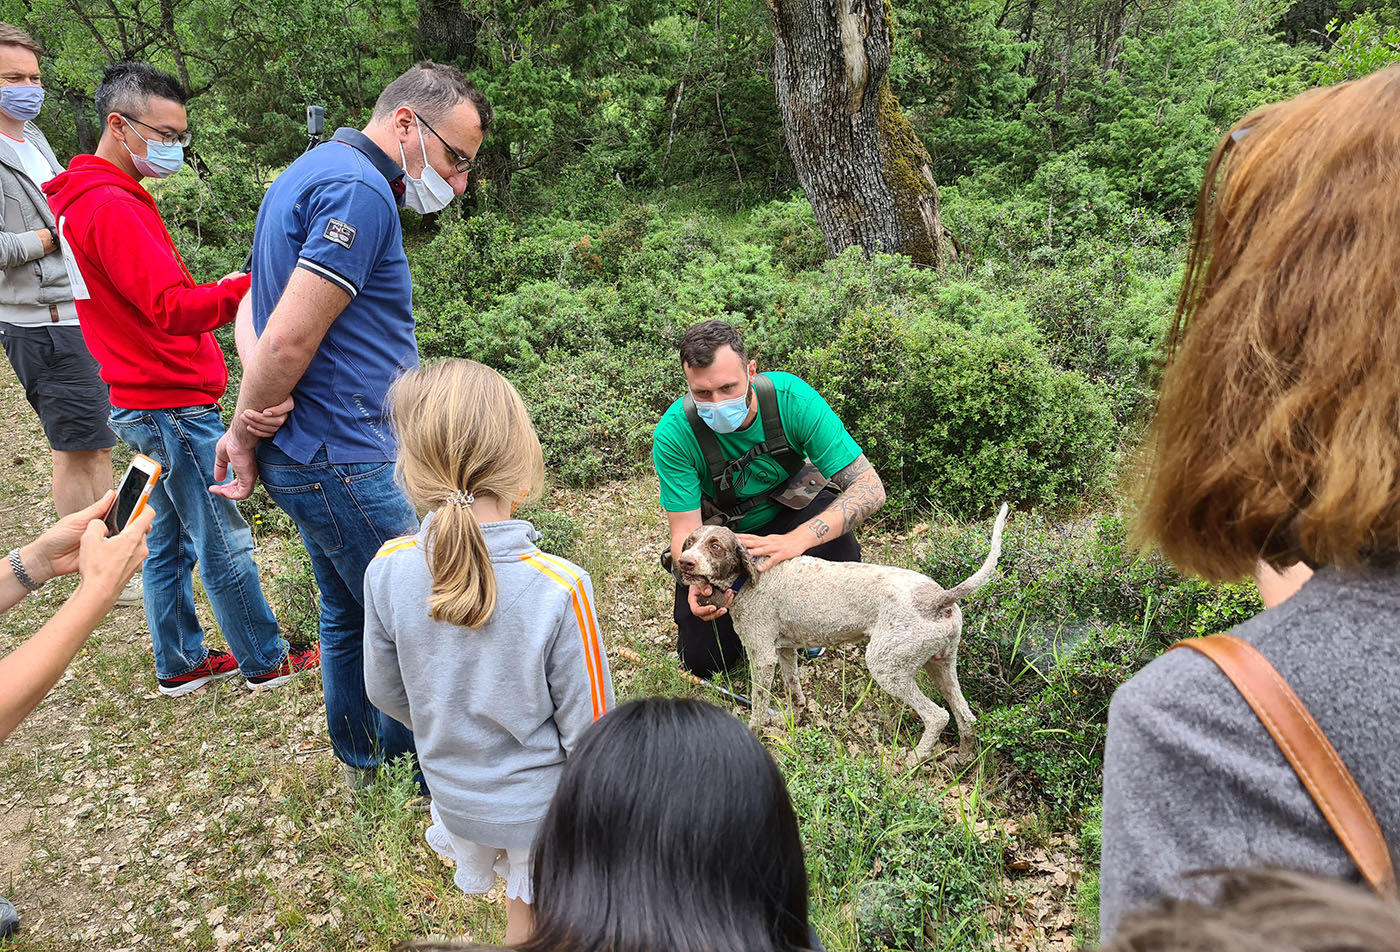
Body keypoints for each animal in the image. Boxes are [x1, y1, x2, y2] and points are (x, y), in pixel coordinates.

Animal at [674, 506, 1008, 767]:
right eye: (689, 541)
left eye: (715, 546)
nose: (684, 561)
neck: (749, 578)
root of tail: (939, 598)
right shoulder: (784, 651)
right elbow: (794, 690)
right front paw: (793, 717)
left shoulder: (763, 657)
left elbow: (758, 704)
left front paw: (755, 729)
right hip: (940, 665)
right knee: (966, 718)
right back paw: (963, 758)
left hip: (888, 666)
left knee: (938, 715)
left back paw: (914, 759)